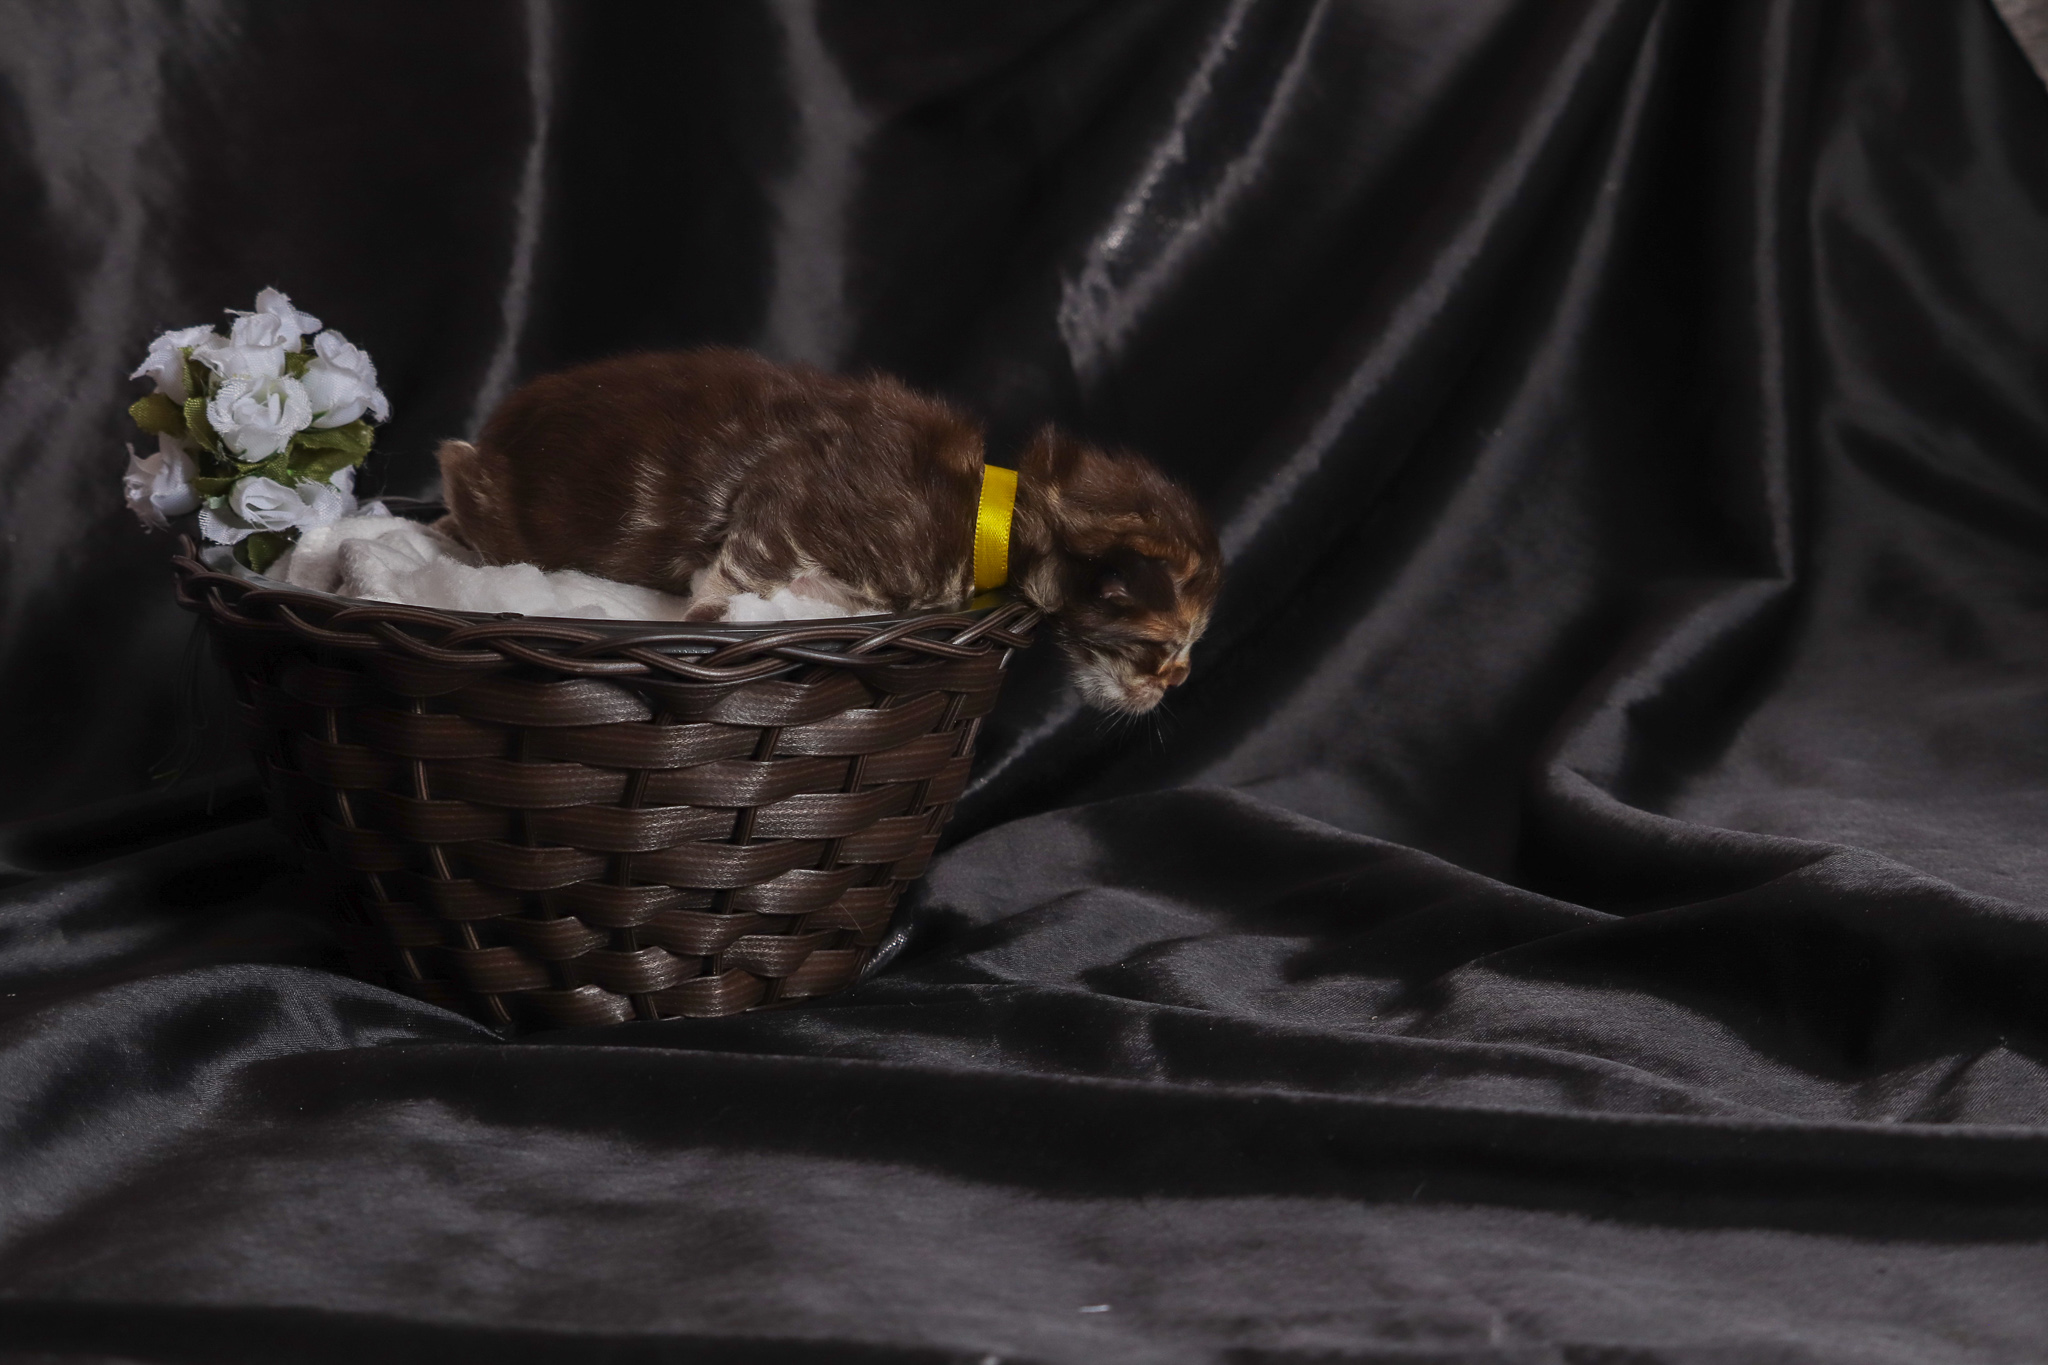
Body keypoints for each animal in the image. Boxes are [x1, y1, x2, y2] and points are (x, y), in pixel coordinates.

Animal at [436, 348, 1220, 713]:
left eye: (1182, 652)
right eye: (1164, 646)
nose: (1181, 682)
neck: (988, 512)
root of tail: (503, 424)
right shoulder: (793, 497)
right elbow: (737, 573)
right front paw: (707, 617)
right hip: (508, 507)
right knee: (458, 470)